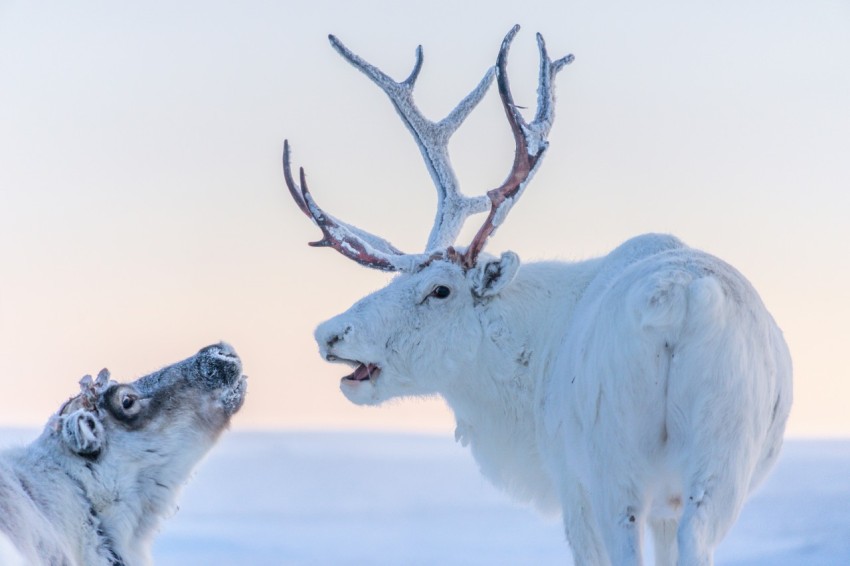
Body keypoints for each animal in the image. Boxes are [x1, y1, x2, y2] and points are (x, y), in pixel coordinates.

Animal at [282, 26, 793, 566]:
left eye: (440, 290)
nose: (329, 333)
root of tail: (681, 300)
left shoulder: (571, 482)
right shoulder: (665, 507)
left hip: (615, 466)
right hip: (719, 461)